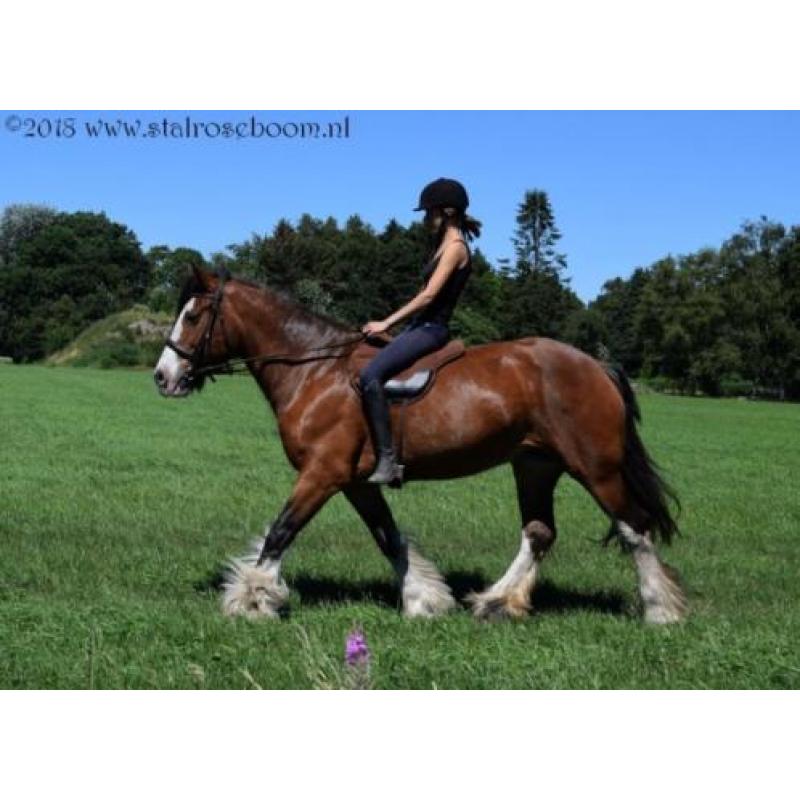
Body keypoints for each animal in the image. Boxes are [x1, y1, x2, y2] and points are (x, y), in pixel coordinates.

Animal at [153, 268, 684, 624]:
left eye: (193, 315)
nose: (162, 376)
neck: (315, 370)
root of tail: (596, 366)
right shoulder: (354, 482)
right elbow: (387, 537)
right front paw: (422, 600)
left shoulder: (322, 473)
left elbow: (282, 531)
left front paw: (251, 599)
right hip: (535, 465)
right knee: (539, 533)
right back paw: (495, 601)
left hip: (596, 468)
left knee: (635, 528)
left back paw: (660, 610)